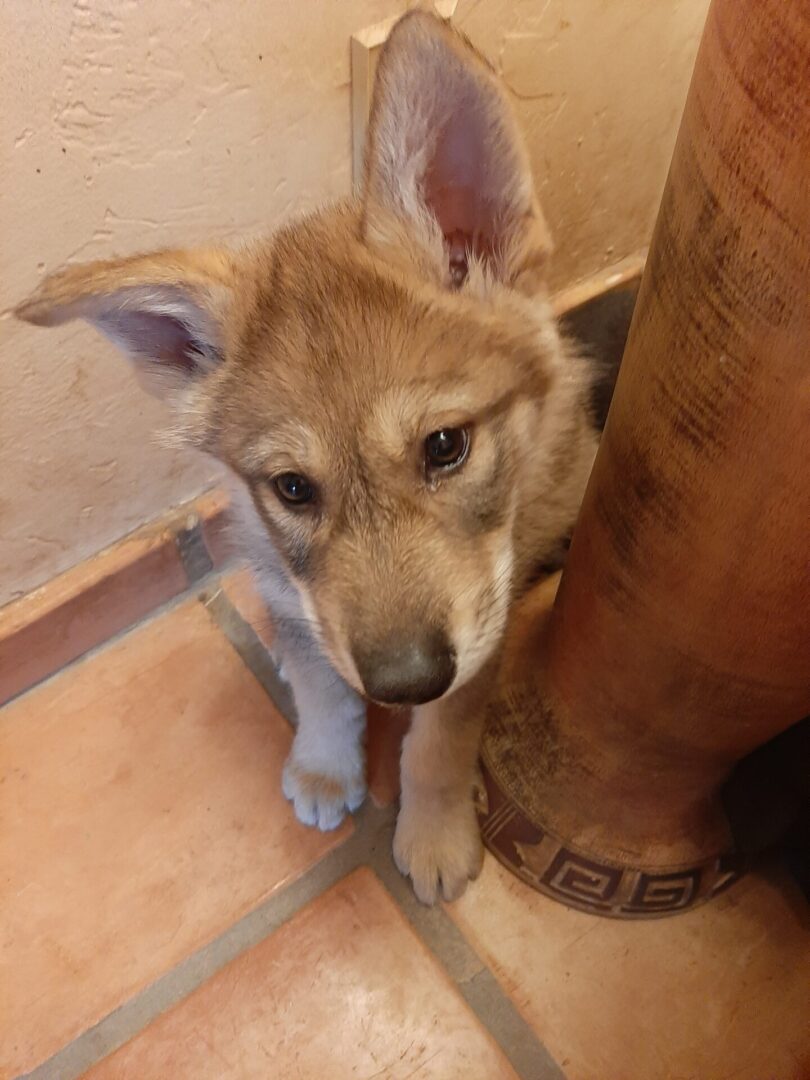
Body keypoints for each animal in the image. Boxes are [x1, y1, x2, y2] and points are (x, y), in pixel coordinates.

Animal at [17, 10, 604, 902]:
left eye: (446, 446)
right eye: (293, 488)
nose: (404, 681)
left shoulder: (484, 617)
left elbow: (441, 736)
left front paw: (436, 830)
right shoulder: (302, 592)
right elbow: (327, 686)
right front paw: (326, 768)